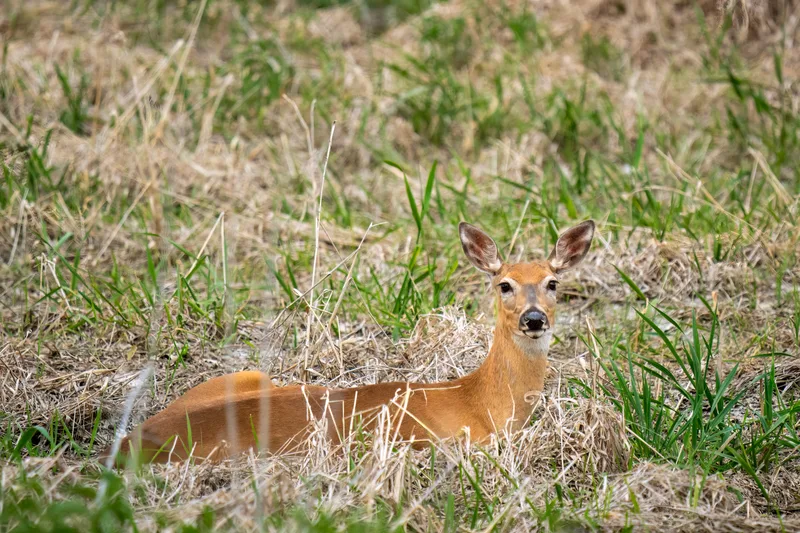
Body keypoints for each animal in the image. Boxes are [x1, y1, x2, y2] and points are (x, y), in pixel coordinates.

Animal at [104, 220, 594, 465]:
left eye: (552, 282)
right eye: (504, 285)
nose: (534, 319)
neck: (481, 400)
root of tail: (133, 441)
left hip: (245, 375)